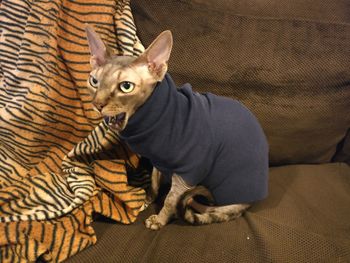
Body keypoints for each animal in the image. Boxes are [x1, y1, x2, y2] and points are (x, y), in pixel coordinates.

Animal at [84, 25, 268, 231]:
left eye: (126, 87)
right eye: (94, 81)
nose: (97, 104)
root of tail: (250, 203)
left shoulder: (187, 173)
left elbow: (171, 200)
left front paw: (159, 219)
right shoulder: (158, 160)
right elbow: (154, 183)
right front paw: (148, 200)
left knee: (211, 208)